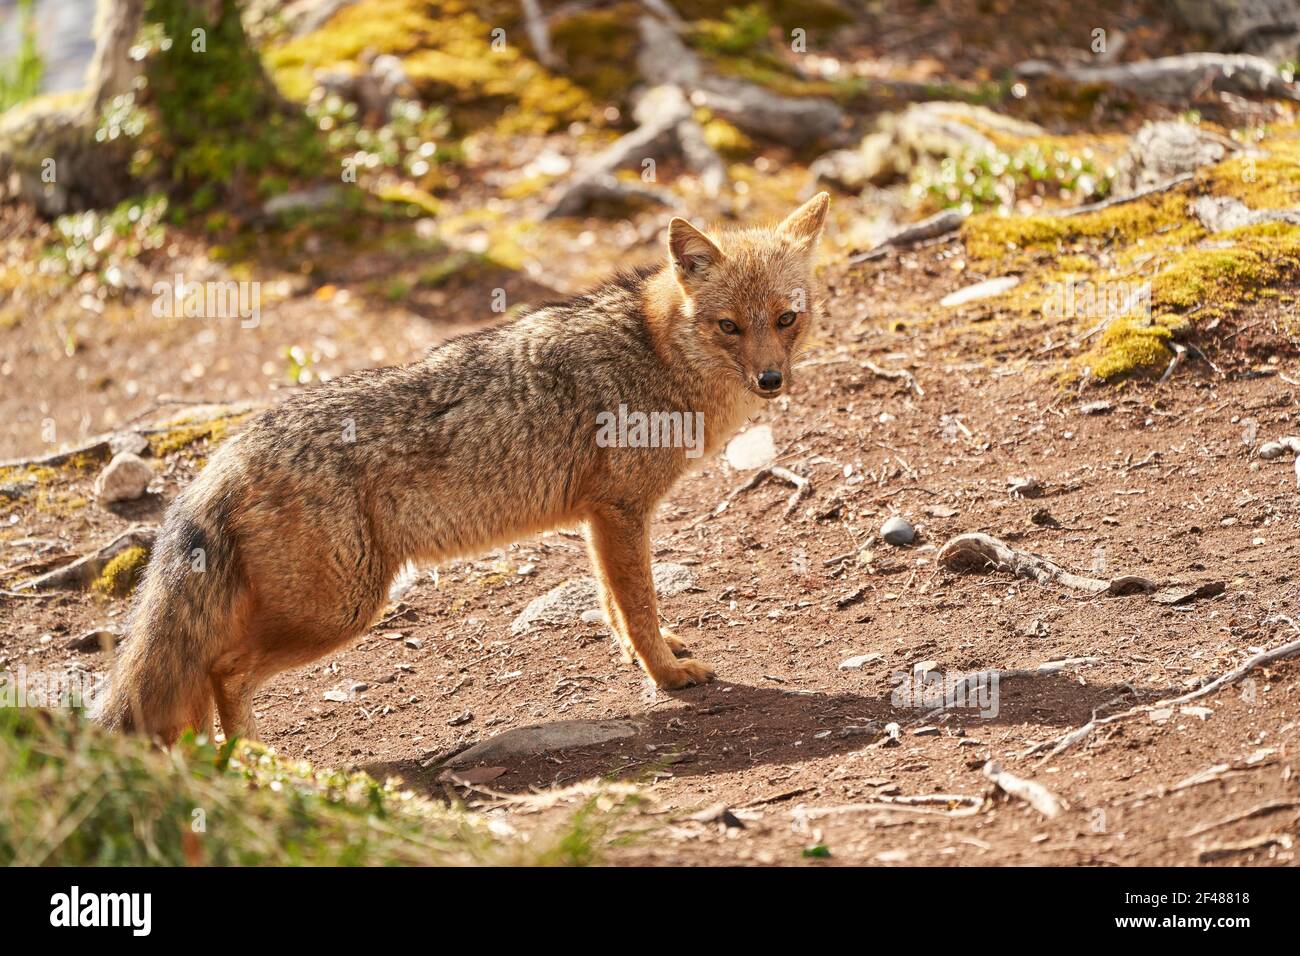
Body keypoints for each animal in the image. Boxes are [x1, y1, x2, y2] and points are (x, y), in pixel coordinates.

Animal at [97, 192, 830, 743]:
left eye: (785, 319)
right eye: (729, 326)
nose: (771, 381)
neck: (654, 351)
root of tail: (225, 453)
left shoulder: (601, 519)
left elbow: (617, 606)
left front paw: (649, 655)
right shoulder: (621, 512)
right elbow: (639, 604)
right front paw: (666, 676)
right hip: (343, 609)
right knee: (222, 672)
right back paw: (257, 763)